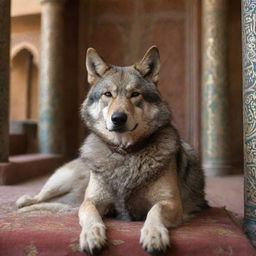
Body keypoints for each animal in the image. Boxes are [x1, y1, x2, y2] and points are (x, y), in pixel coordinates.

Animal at [16, 46, 207, 254]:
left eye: (135, 94)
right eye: (108, 94)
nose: (118, 118)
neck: (125, 154)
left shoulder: (171, 202)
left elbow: (154, 212)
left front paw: (154, 234)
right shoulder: (91, 201)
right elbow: (91, 216)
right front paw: (92, 235)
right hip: (61, 181)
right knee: (42, 196)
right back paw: (23, 201)